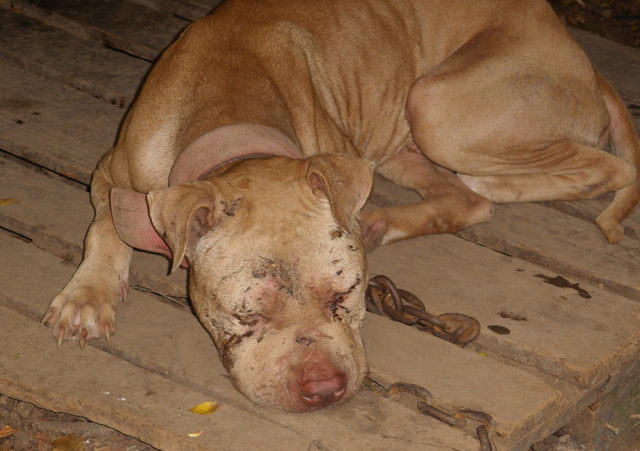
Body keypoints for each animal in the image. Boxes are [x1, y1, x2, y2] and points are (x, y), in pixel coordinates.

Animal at [42, 0, 636, 414]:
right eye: (247, 315)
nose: (324, 387)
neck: (230, 107)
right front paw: (87, 296)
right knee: (466, 200)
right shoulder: (110, 173)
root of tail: (575, 51)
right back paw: (381, 219)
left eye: (347, 294)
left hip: (437, 105)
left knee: (608, 169)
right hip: (407, 131)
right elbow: (104, 227)